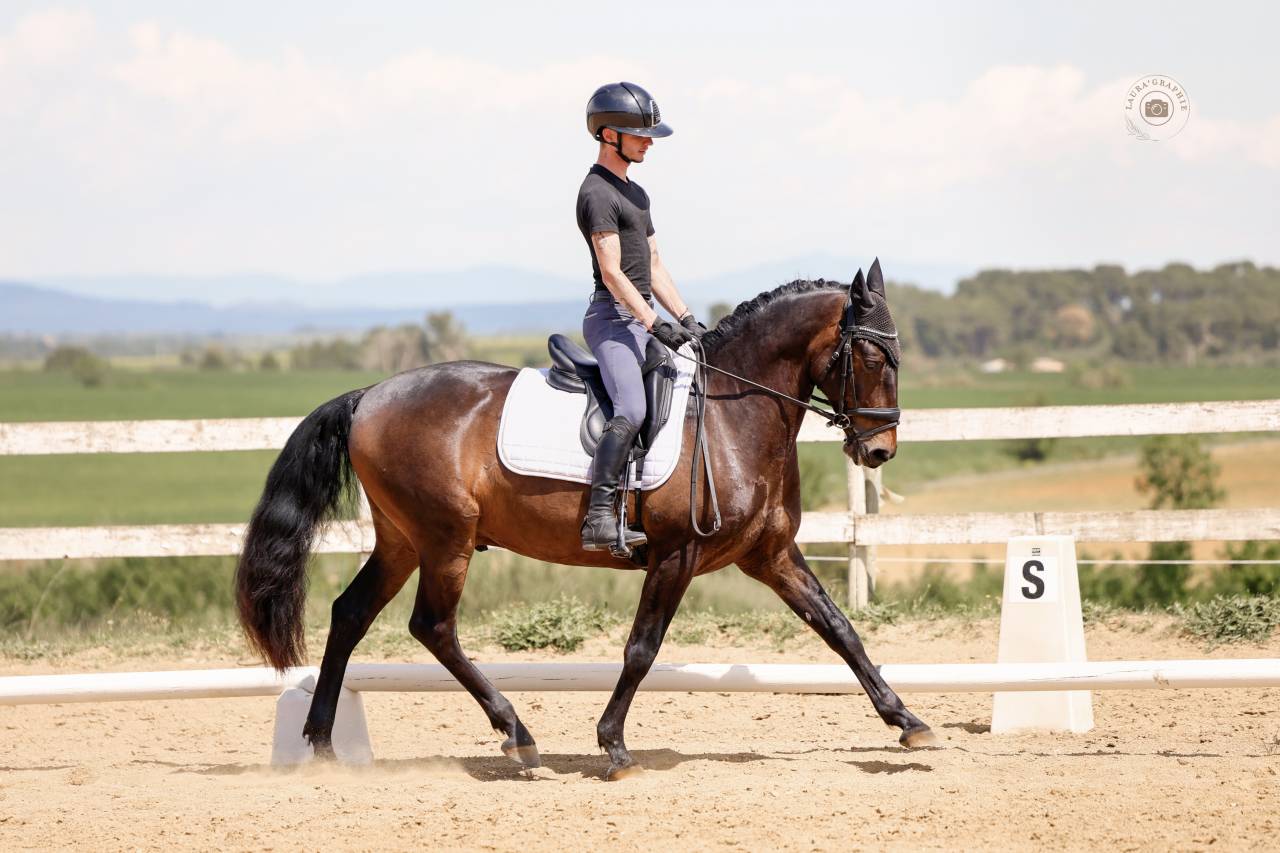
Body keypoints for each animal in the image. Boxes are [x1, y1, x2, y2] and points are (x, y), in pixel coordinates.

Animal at [234, 258, 937, 780]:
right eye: (873, 359)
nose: (879, 451)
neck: (734, 412)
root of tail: (370, 396)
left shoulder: (771, 555)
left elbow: (841, 631)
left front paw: (908, 723)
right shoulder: (676, 555)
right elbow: (642, 648)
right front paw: (614, 746)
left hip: (403, 540)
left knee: (351, 614)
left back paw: (323, 745)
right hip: (444, 539)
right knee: (432, 627)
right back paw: (516, 734)